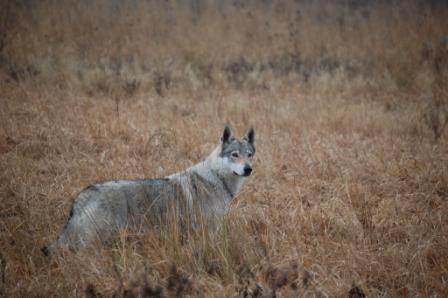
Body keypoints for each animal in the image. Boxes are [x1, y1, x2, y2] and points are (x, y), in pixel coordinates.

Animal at [43, 126, 258, 256]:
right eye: (234, 155)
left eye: (249, 155)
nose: (248, 169)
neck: (217, 179)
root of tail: (83, 195)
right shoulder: (208, 231)